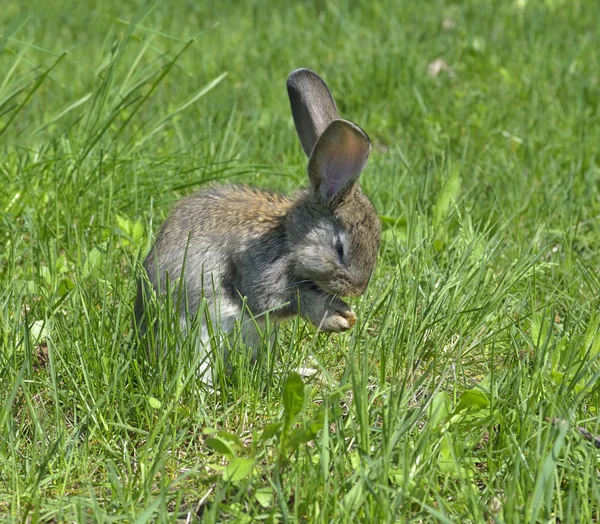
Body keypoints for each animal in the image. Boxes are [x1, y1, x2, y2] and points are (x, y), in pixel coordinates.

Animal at [134, 68, 382, 372]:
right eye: (339, 248)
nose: (358, 289)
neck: (288, 237)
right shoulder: (262, 272)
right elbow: (281, 298)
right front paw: (334, 315)